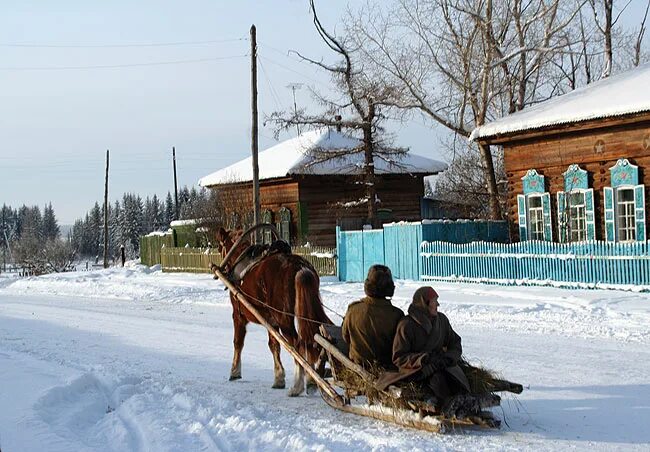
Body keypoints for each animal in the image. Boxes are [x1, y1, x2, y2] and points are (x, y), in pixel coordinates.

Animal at [215, 226, 332, 396]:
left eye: (220, 245)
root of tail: (299, 266)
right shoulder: (271, 321)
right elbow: (274, 345)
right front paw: (279, 378)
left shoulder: (238, 315)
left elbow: (238, 342)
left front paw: (234, 371)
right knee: (312, 340)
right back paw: (312, 380)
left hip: (284, 318)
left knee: (297, 344)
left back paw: (297, 386)